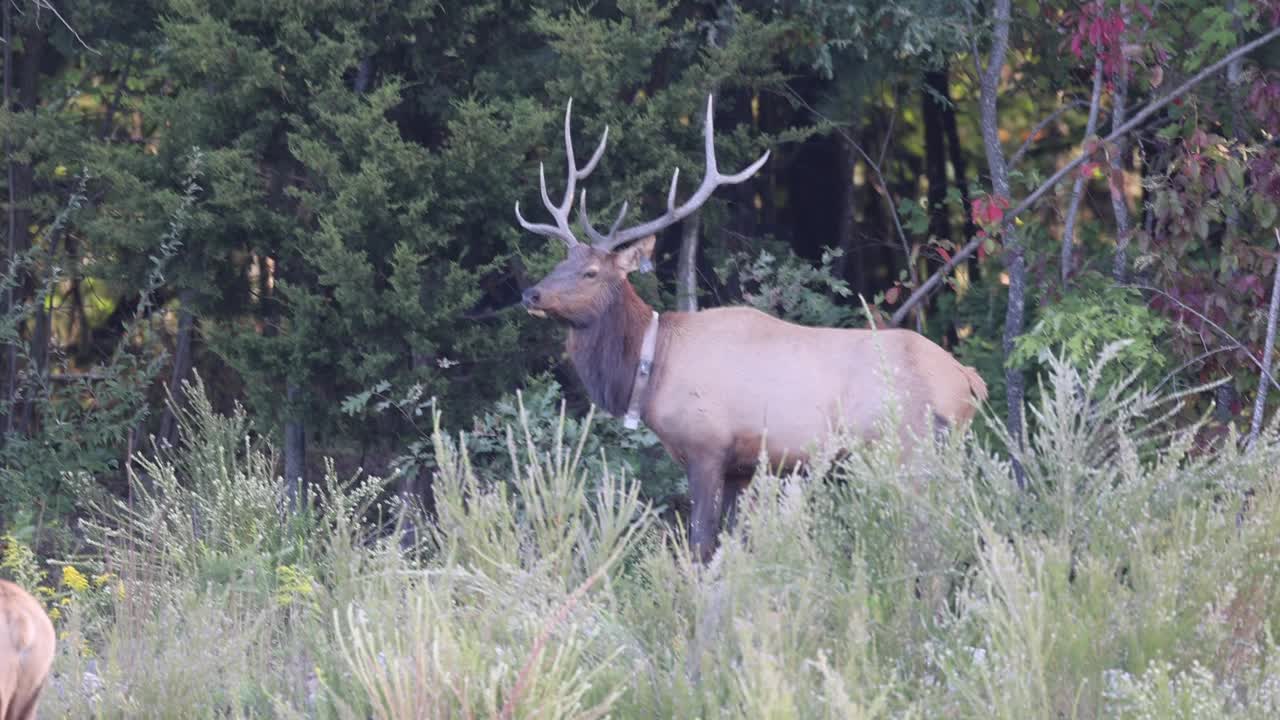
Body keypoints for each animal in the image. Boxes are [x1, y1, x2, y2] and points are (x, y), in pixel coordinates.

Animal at [514, 94, 983, 561]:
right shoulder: (743, 466)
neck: (651, 366)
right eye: (562, 262)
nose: (530, 294)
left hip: (911, 445)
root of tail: (967, 378)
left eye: (591, 272)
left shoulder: (707, 446)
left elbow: (701, 544)